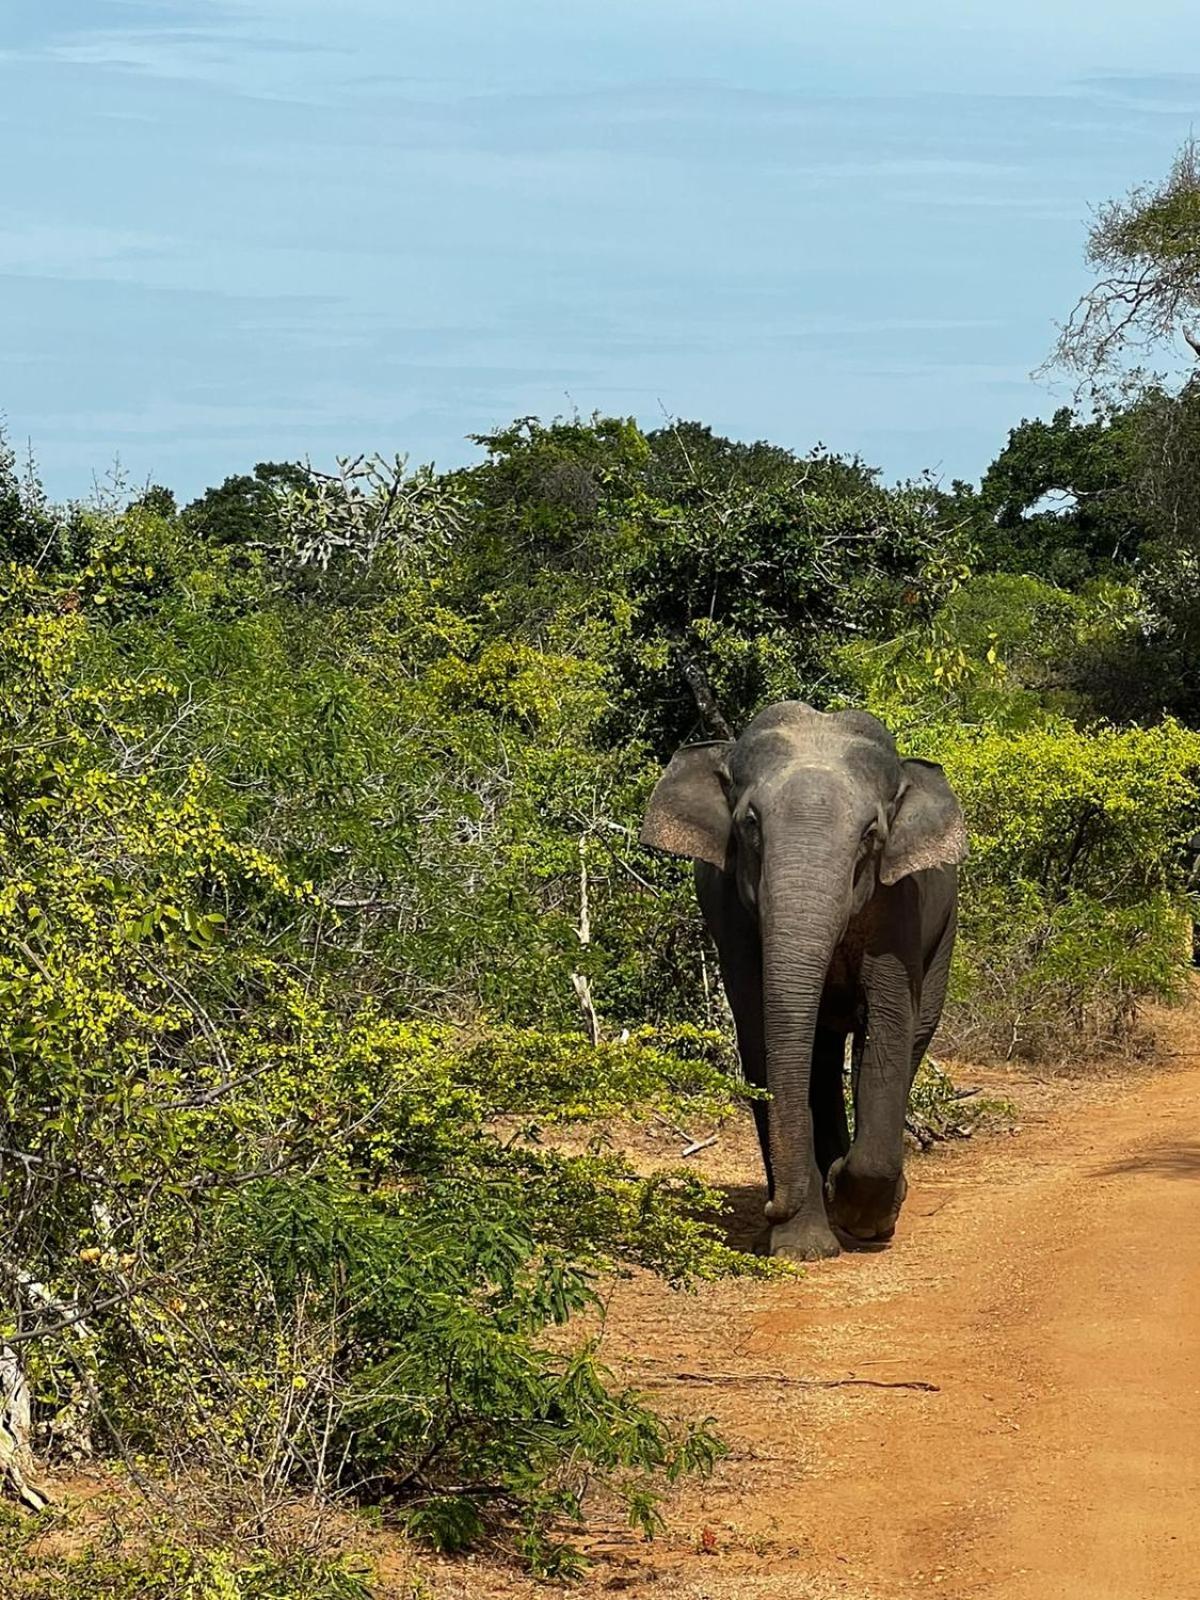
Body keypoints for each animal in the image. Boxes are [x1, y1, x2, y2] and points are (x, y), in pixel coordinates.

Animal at [640, 700, 966, 1260]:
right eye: (750, 823)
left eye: (871, 835)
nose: (771, 1208)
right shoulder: (730, 910)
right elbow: (761, 1033)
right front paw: (801, 1247)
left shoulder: (898, 910)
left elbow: (888, 1027)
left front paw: (858, 1216)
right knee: (818, 1052)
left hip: (943, 929)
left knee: (912, 1037)